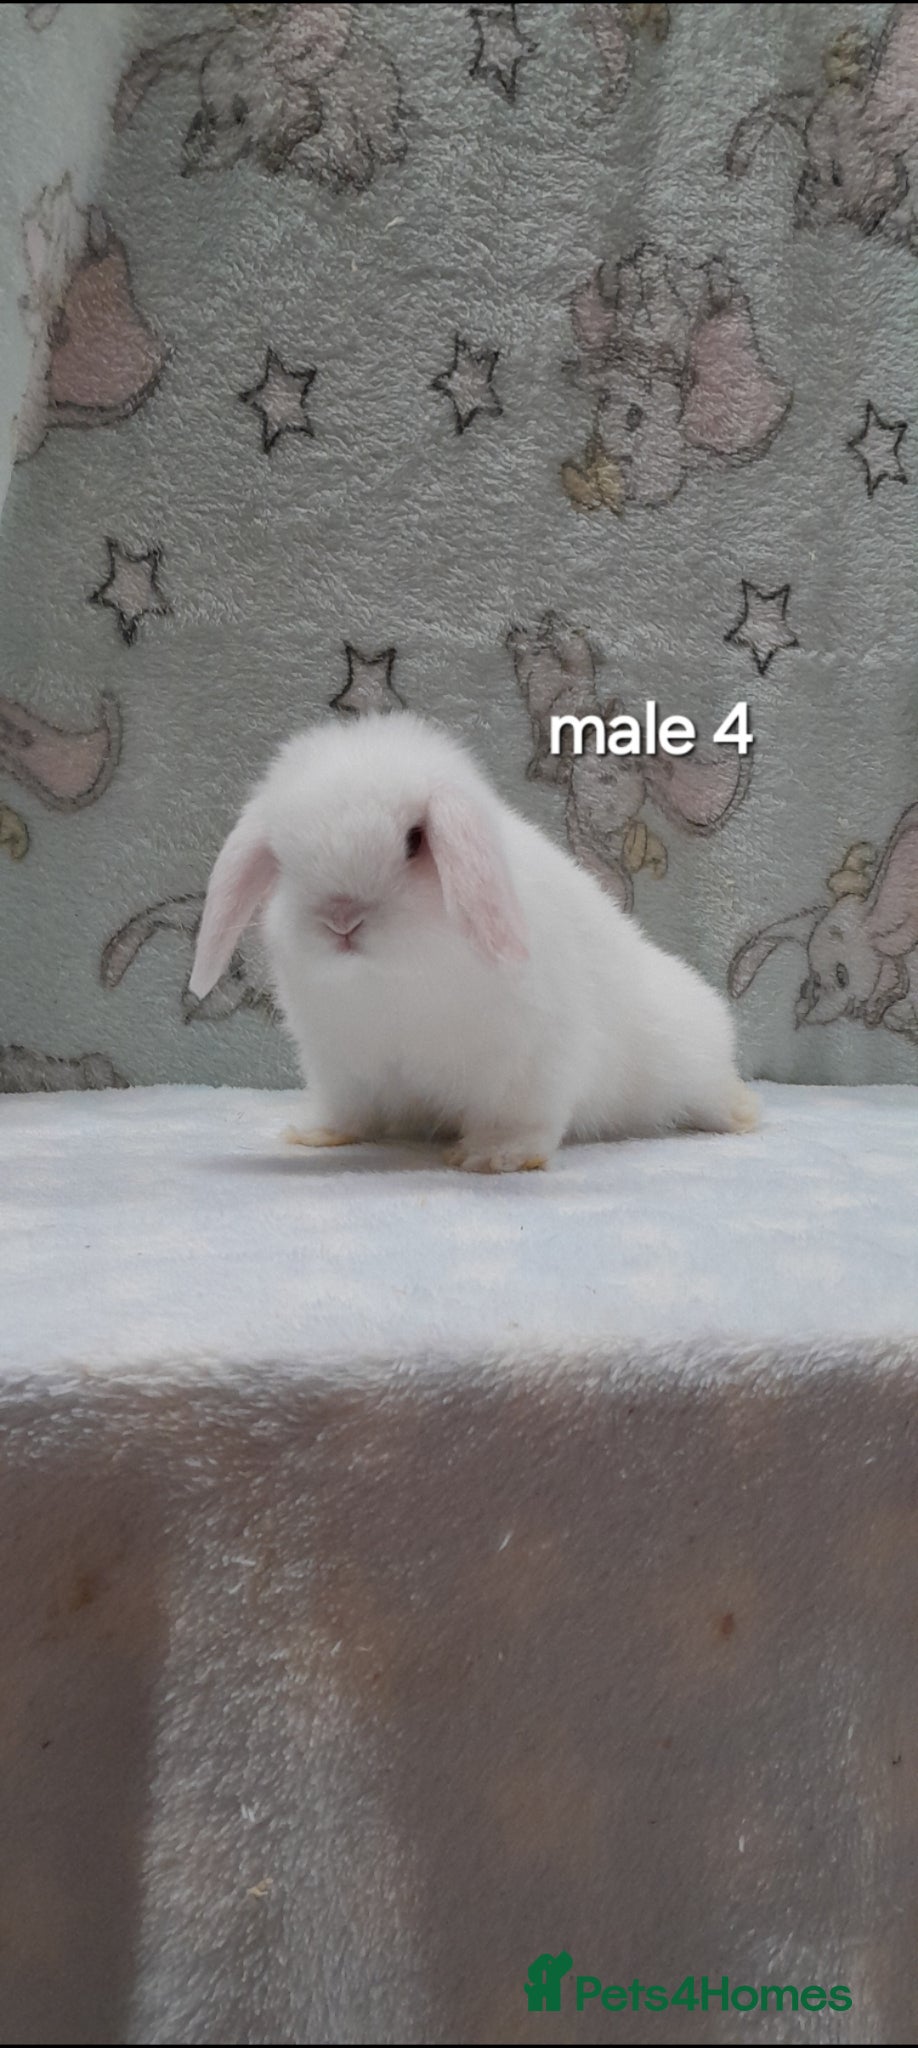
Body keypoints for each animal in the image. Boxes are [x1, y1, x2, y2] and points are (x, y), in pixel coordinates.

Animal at [189, 714, 758, 1172]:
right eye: (283, 859)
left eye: (415, 840)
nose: (341, 920)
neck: (392, 980)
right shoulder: (338, 1065)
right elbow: (348, 1111)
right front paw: (315, 1134)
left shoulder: (529, 1060)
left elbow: (520, 1118)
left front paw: (495, 1158)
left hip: (688, 1058)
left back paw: (744, 1113)